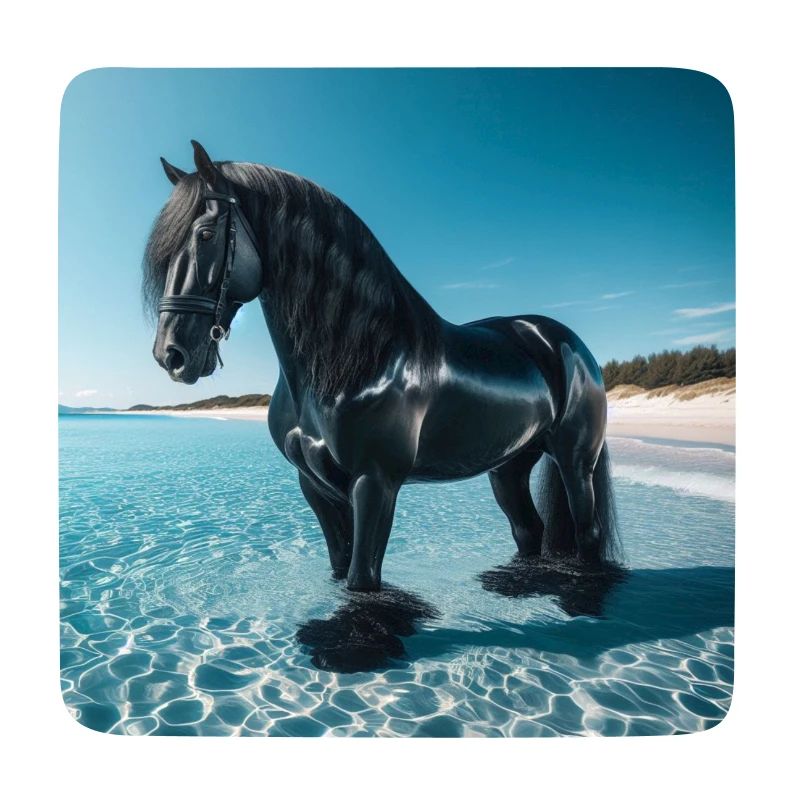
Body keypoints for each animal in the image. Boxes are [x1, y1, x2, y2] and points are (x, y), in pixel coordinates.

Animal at [144, 140, 620, 592]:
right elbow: (340, 568)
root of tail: (565, 342)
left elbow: (363, 580)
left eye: (205, 234)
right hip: (508, 466)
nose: (171, 354)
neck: (356, 357)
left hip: (575, 463)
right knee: (528, 530)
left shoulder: (374, 484)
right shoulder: (314, 486)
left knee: (587, 533)